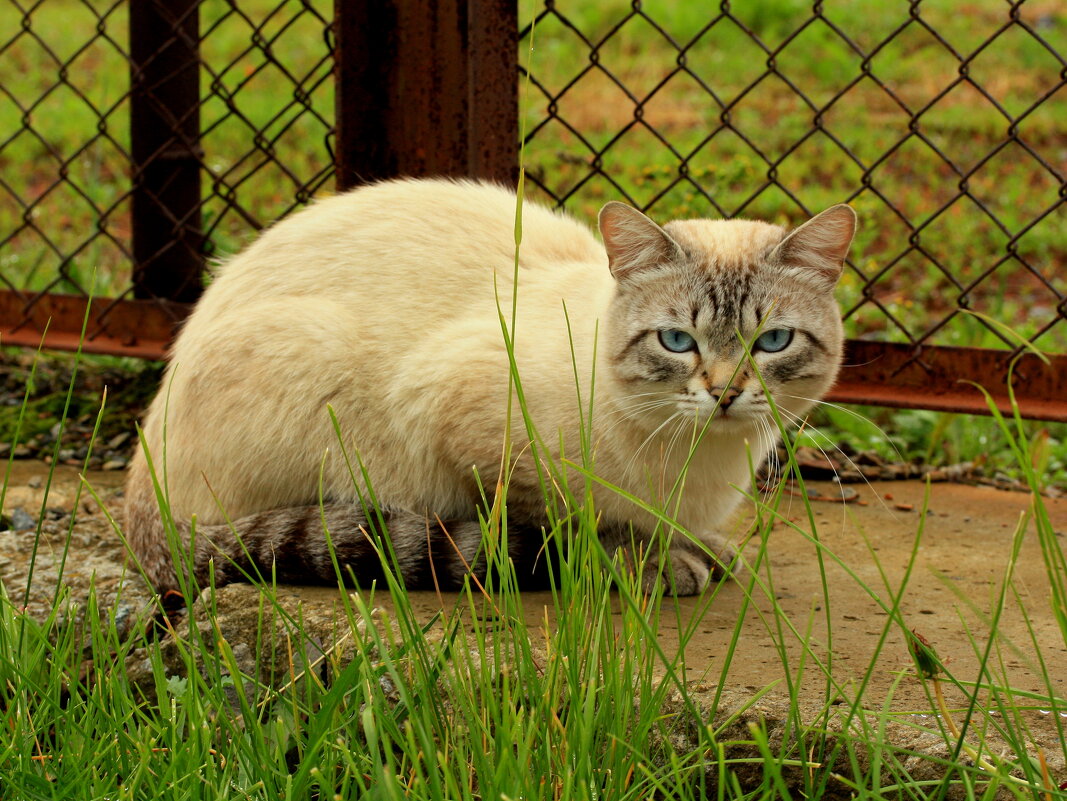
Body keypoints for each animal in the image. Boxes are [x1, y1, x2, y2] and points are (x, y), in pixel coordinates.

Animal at [124, 180, 857, 597]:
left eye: (772, 341)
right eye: (677, 342)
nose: (725, 392)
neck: (697, 462)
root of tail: (135, 492)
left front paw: (702, 548)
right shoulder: (464, 429)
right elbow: (576, 525)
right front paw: (652, 561)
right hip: (318, 366)